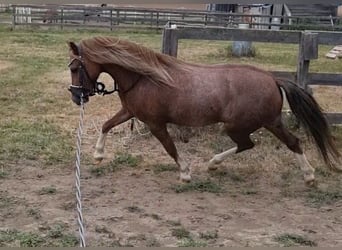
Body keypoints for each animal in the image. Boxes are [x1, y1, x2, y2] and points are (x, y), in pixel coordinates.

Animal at [67, 36, 340, 185]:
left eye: (74, 67)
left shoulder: (156, 124)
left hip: (246, 125)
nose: (76, 96)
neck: (144, 77)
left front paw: (185, 173)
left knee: (269, 143)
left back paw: (308, 176)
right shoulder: (130, 112)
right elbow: (106, 125)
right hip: (265, 122)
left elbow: (170, 148)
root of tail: (273, 79)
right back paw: (214, 164)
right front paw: (98, 155)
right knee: (264, 144)